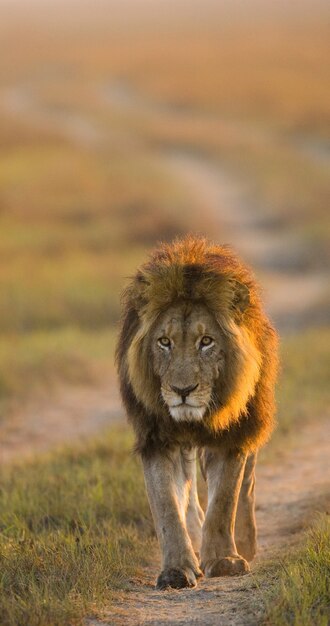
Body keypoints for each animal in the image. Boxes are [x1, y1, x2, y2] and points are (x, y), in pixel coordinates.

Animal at [116, 236, 278, 588]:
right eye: (164, 342)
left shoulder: (232, 437)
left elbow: (225, 501)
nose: (183, 391)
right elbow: (167, 506)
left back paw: (244, 542)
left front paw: (225, 560)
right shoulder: (157, 437)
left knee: (248, 482)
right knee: (188, 494)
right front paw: (177, 569)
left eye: (206, 341)